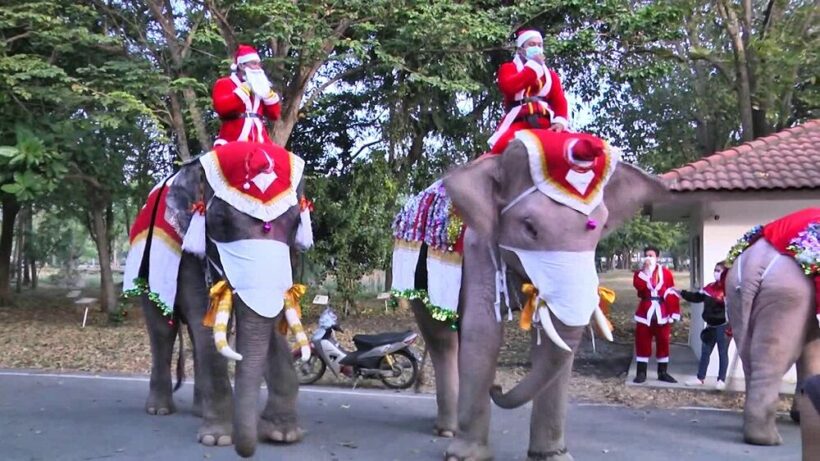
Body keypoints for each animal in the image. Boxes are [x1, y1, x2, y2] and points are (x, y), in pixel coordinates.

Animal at [123, 141, 312, 456]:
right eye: (220, 221)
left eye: (297, 222)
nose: (246, 449)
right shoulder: (188, 253)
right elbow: (205, 322)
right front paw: (218, 439)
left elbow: (269, 317)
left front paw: (282, 435)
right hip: (145, 269)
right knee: (164, 330)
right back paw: (159, 410)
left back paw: (199, 411)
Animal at [394, 130, 668, 460]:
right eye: (530, 227)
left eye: (600, 227)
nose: (497, 388)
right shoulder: (478, 245)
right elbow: (484, 331)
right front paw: (466, 456)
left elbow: (550, 338)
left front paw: (554, 456)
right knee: (442, 339)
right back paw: (448, 431)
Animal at [728, 207, 816, 458]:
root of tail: (754, 265)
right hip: (786, 293)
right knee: (774, 357)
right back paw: (767, 441)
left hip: (736, 292)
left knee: (750, 357)